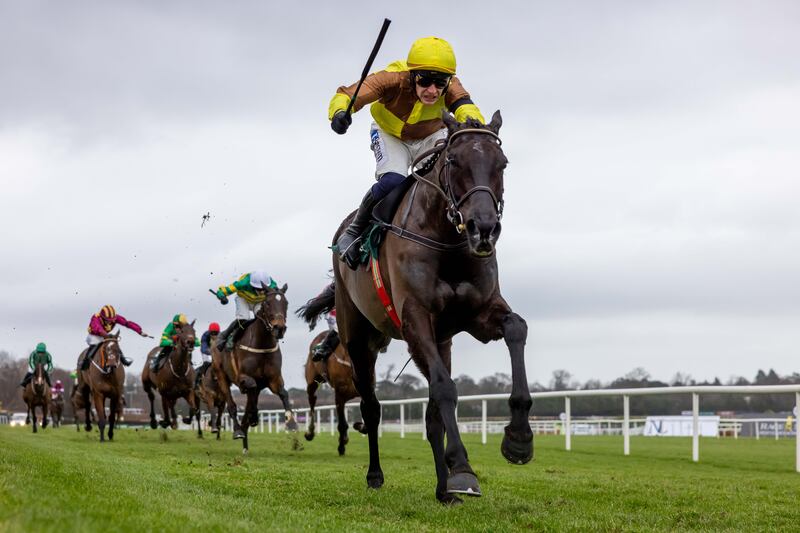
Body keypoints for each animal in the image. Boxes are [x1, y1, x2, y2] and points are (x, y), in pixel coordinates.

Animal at [212, 282, 296, 454]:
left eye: (286, 303)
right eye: (267, 303)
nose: (279, 328)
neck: (261, 344)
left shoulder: (274, 379)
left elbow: (283, 393)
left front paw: (291, 424)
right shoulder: (243, 377)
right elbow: (251, 387)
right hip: (221, 376)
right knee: (232, 405)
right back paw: (239, 430)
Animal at [316, 112, 536, 502]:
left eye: (503, 164)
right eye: (454, 161)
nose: (483, 228)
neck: (446, 240)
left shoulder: (478, 314)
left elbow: (516, 328)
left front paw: (519, 439)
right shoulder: (415, 319)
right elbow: (446, 389)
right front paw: (462, 466)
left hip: (440, 341)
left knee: (432, 415)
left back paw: (443, 490)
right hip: (358, 337)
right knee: (371, 407)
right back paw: (375, 474)